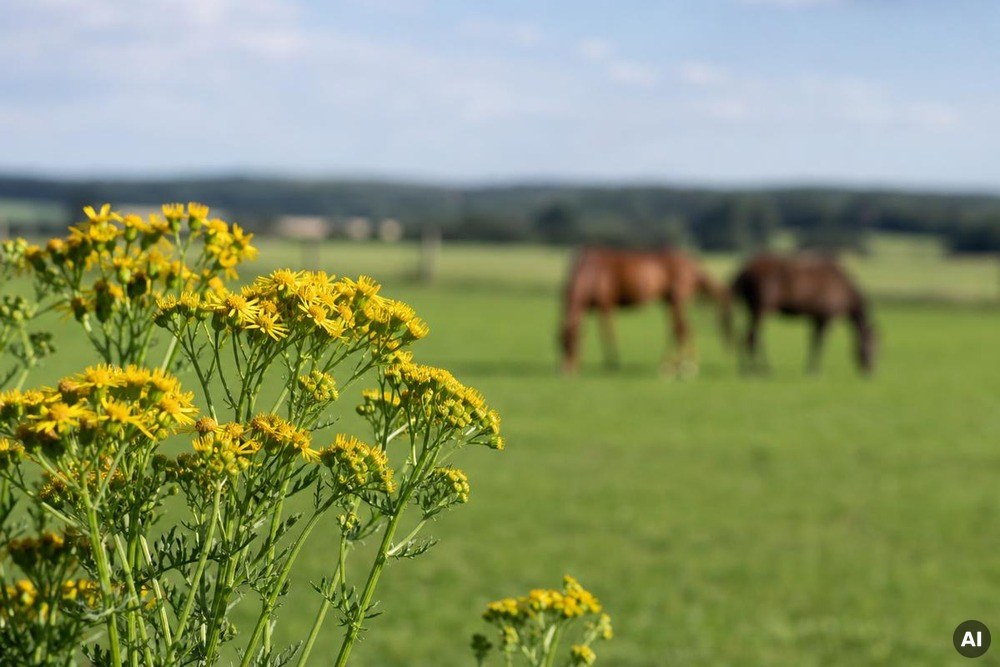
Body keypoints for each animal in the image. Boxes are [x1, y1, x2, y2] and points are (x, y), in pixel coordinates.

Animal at [559, 247, 732, 376]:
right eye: (559, 344)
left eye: (571, 344)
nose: (565, 371)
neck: (590, 271)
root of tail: (692, 264)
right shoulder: (589, 309)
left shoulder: (605, 305)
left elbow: (608, 335)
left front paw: (613, 363)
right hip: (670, 301)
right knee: (679, 329)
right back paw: (671, 366)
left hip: (677, 300)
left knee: (681, 330)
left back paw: (686, 367)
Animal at [730, 253, 877, 374]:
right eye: (874, 344)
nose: (871, 371)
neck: (843, 289)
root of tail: (744, 271)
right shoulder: (826, 318)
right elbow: (819, 343)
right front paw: (815, 370)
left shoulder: (816, 318)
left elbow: (812, 341)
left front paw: (810, 367)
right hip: (762, 309)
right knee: (754, 337)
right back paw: (762, 369)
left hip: (752, 309)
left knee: (746, 337)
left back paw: (746, 368)